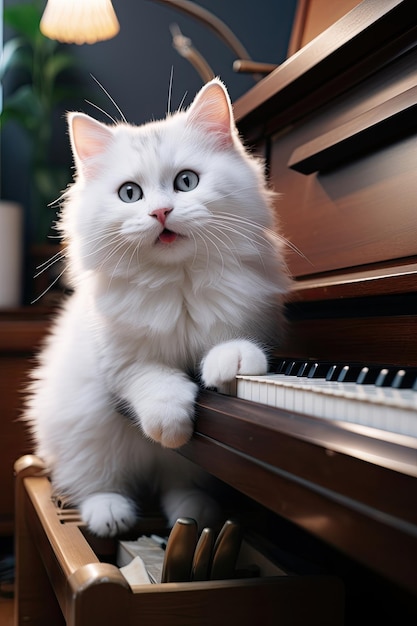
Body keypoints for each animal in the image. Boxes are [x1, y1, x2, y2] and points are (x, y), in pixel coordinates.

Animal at [24, 78, 288, 536]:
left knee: (177, 486)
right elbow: (156, 381)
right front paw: (171, 426)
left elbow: (232, 347)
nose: (161, 212)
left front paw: (232, 365)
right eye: (130, 193)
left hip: (189, 471)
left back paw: (194, 516)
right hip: (82, 431)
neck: (178, 283)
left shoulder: (249, 318)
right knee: (96, 482)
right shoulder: (120, 363)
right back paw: (111, 514)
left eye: (186, 182)